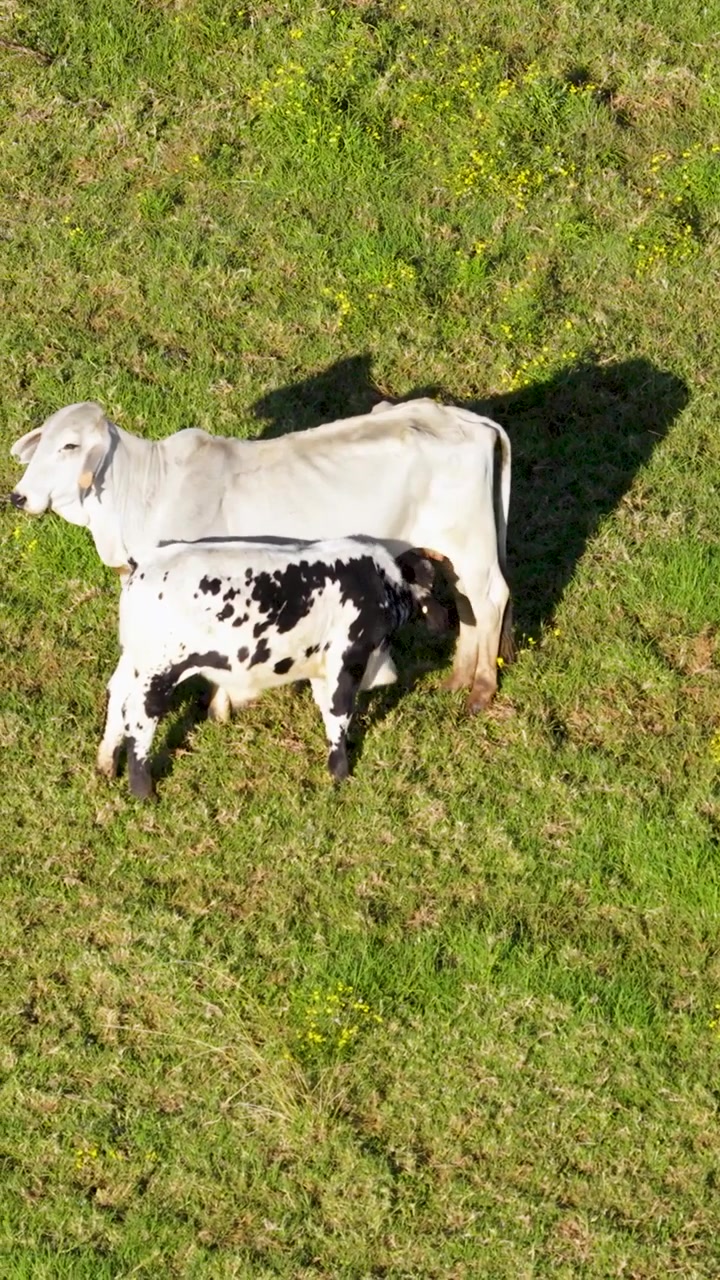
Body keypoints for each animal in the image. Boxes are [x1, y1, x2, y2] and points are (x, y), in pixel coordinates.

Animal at [9, 396, 512, 715]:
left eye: (70, 445)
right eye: (41, 443)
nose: (18, 496)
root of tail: (465, 420)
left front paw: (221, 706)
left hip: (472, 545)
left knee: (491, 599)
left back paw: (480, 691)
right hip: (453, 551)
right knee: (468, 603)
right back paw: (457, 679)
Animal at [96, 537, 447, 799]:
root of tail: (142, 565)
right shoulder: (346, 660)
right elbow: (338, 713)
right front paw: (340, 773)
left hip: (134, 660)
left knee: (117, 696)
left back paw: (106, 765)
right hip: (158, 670)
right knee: (140, 716)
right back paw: (144, 791)